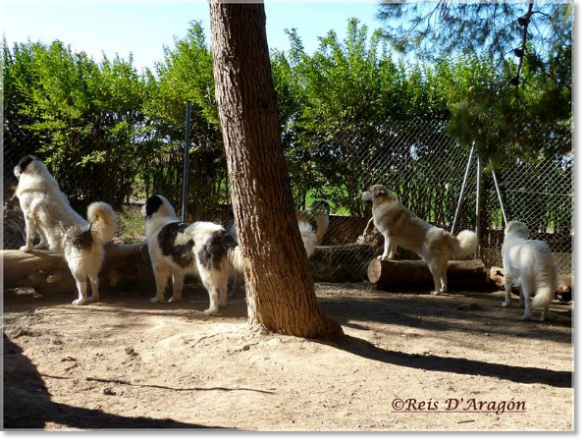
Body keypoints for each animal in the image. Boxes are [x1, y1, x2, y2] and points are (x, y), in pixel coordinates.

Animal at [14, 155, 117, 304]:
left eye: (19, 163)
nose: (14, 168)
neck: (36, 172)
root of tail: (88, 232)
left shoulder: (29, 217)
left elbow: (29, 236)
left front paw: (27, 249)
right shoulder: (39, 222)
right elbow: (42, 235)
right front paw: (41, 246)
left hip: (75, 267)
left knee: (82, 284)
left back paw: (81, 301)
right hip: (92, 265)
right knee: (95, 281)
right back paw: (93, 298)